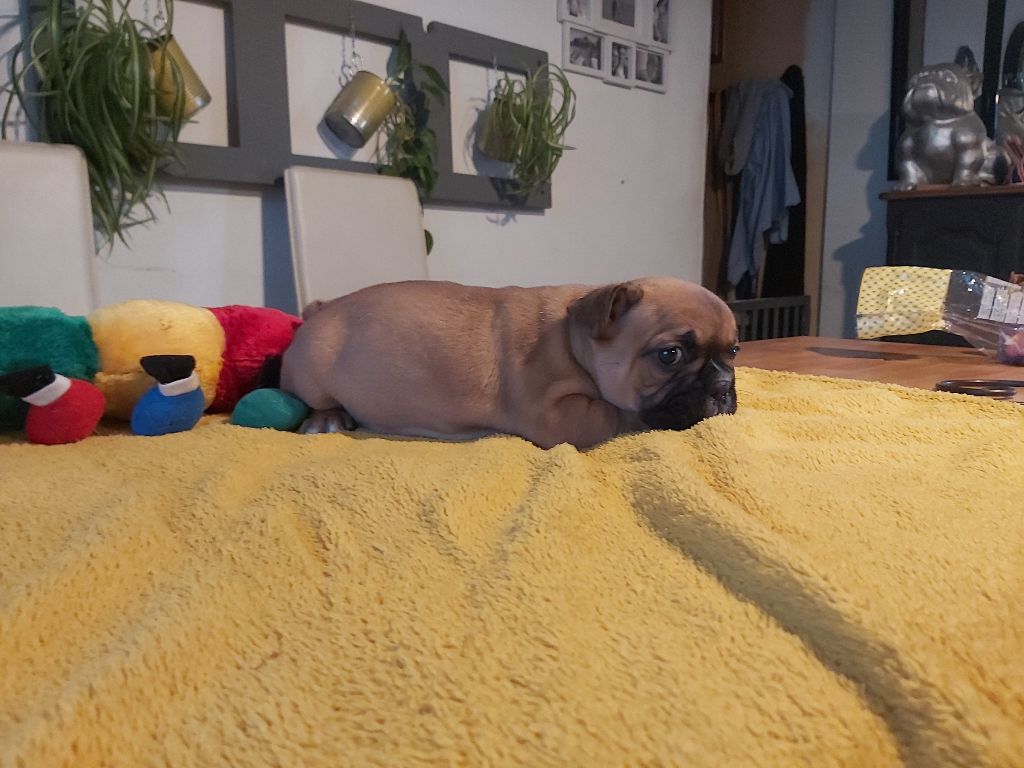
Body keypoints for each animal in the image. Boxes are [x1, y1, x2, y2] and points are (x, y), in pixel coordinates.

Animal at [280, 277, 739, 449]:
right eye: (669, 355)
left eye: (733, 351)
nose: (722, 388)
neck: (575, 341)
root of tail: (320, 308)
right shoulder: (560, 417)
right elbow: (617, 414)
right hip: (312, 372)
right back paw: (327, 419)